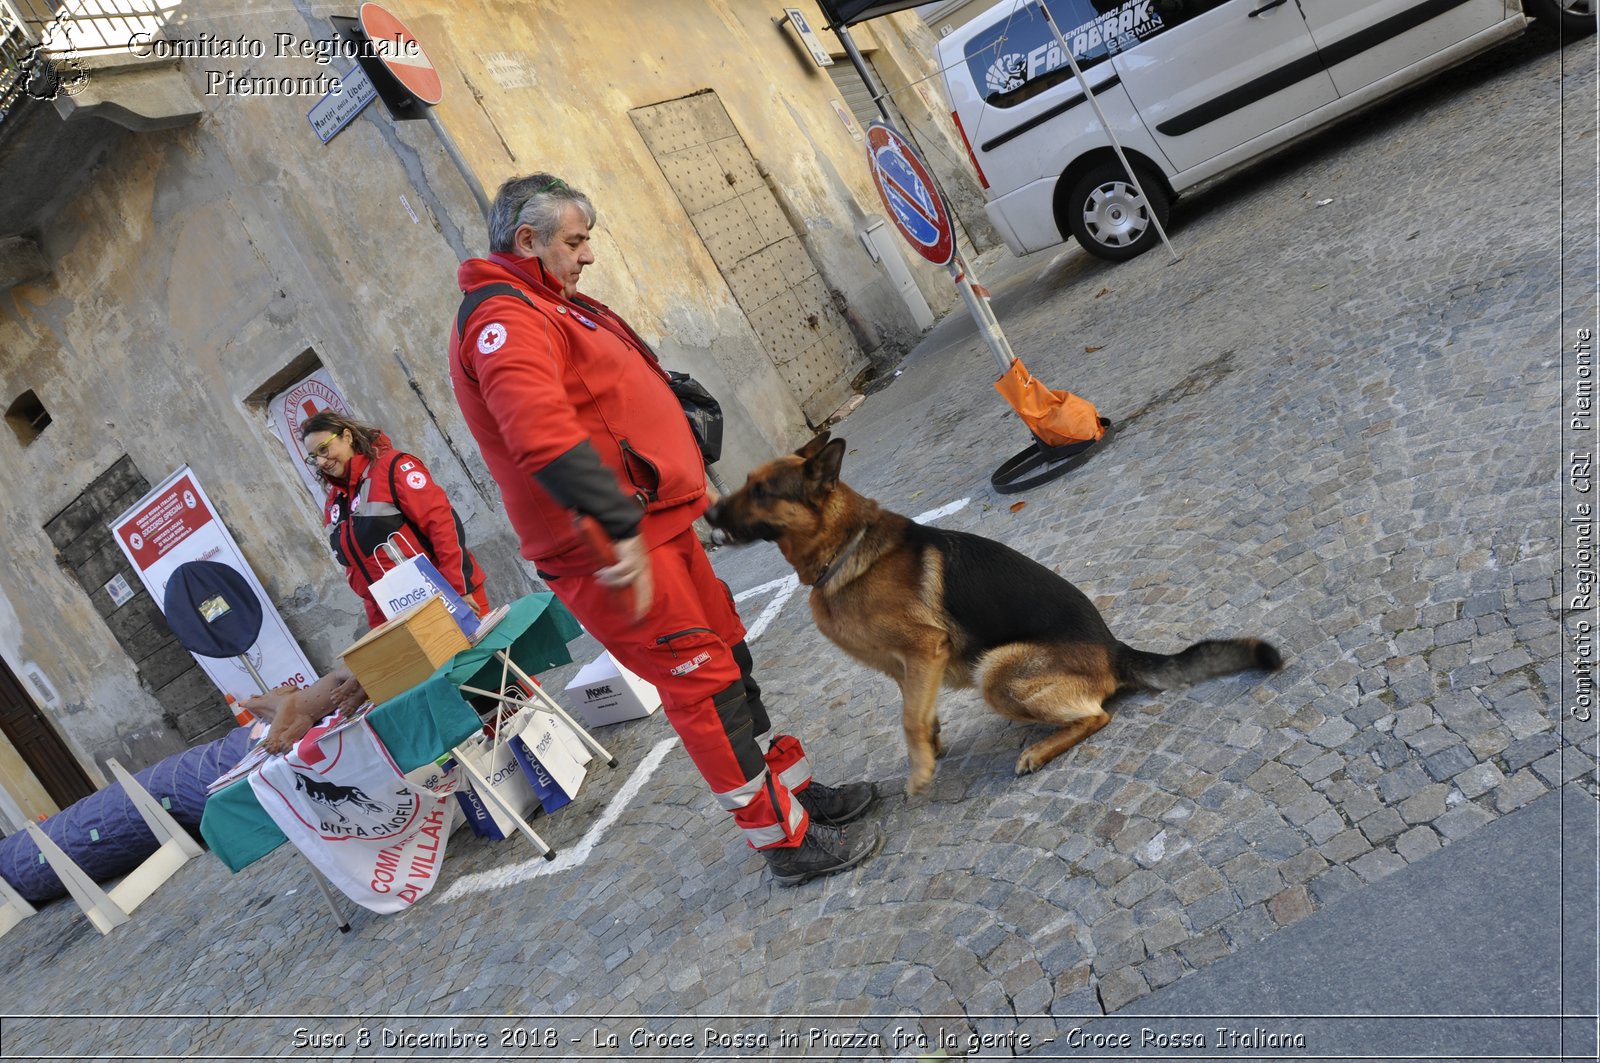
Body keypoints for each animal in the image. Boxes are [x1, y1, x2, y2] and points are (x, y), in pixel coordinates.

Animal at [707, 429, 1280, 794]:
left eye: (762, 492)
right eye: (746, 484)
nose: (707, 512)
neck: (844, 545)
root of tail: (1114, 649)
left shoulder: (925, 648)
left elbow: (908, 720)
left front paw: (920, 773)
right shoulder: (907, 667)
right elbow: (919, 711)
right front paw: (933, 746)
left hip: (997, 673)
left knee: (1098, 715)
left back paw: (1038, 751)